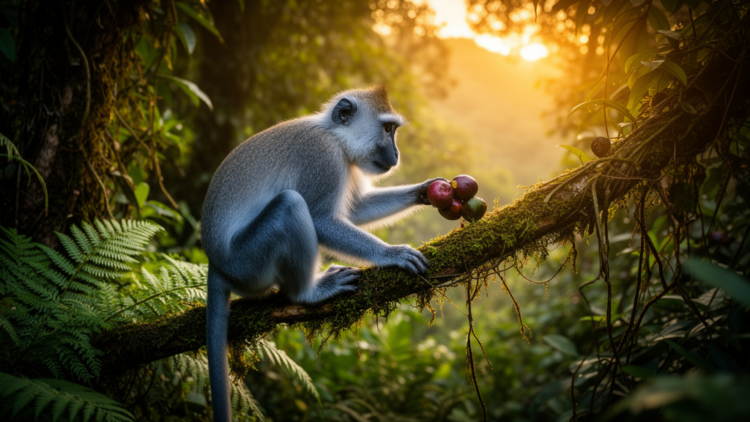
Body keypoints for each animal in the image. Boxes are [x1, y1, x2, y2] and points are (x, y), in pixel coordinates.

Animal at [202, 85, 444, 422]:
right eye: (387, 129)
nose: (396, 155)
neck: (335, 136)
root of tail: (215, 262)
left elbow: (353, 211)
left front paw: (423, 190)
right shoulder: (323, 158)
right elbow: (321, 219)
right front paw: (392, 253)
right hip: (248, 262)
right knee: (290, 205)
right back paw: (308, 292)